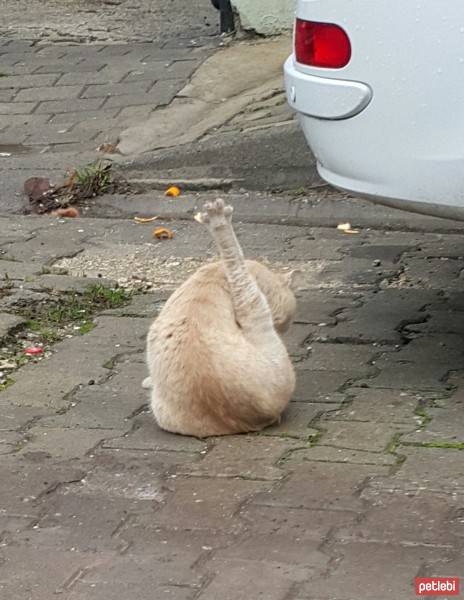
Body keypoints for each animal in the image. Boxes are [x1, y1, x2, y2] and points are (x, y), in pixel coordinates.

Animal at [144, 199, 298, 438]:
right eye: (283, 322)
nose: (280, 328)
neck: (215, 273)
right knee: (238, 268)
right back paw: (219, 222)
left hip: (161, 410)